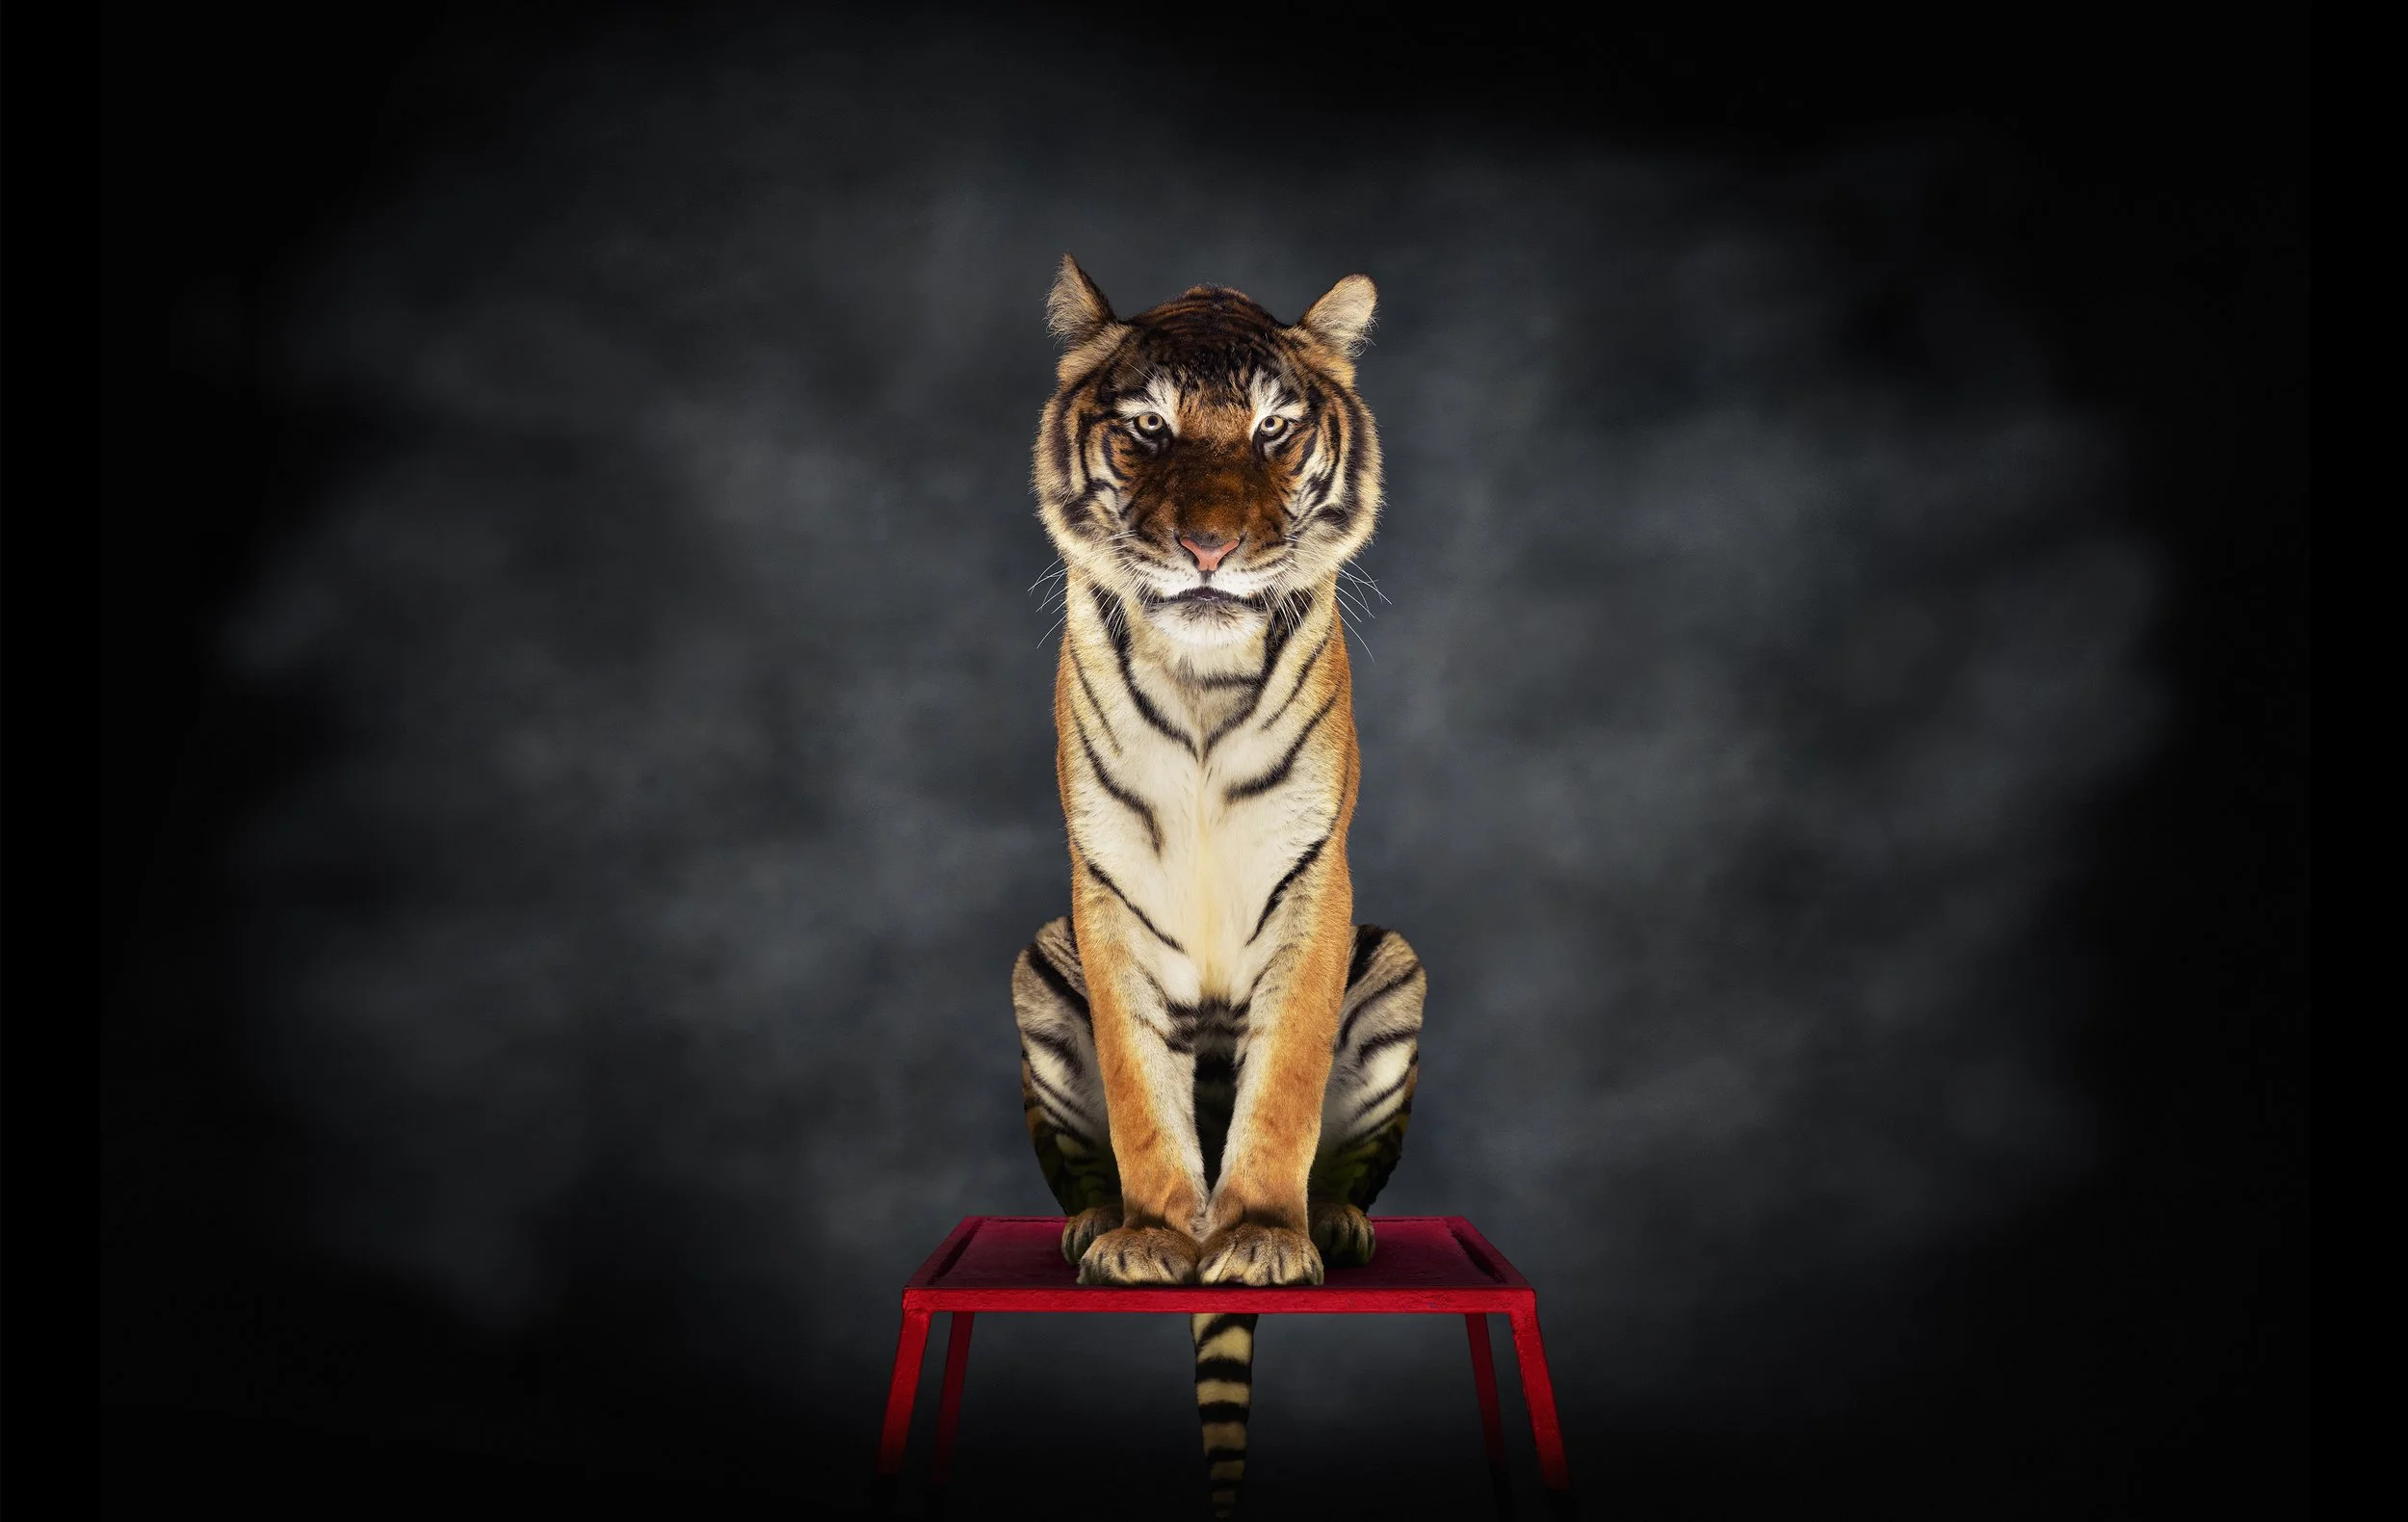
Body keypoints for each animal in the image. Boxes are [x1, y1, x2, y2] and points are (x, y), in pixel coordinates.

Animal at [1010, 256, 1428, 1518]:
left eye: (1273, 429)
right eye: (1148, 427)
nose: (1205, 548)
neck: (1200, 676)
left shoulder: (1313, 881)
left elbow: (1283, 1084)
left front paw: (1258, 1234)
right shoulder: (1101, 884)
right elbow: (1140, 1095)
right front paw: (1154, 1235)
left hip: (1395, 962)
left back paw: (1333, 1220)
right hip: (1036, 958)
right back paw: (1094, 1225)